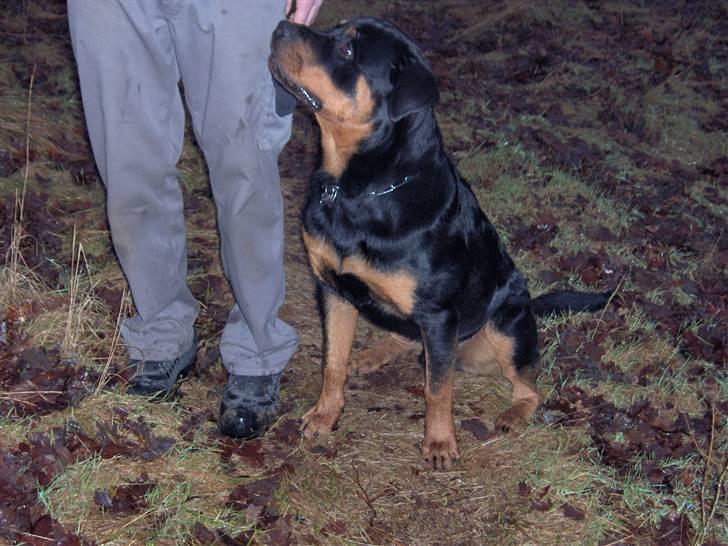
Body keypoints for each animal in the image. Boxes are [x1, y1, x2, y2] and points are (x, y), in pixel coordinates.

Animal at [268, 18, 608, 468]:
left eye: (347, 50)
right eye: (335, 31)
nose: (280, 25)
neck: (357, 189)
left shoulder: (438, 315)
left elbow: (438, 388)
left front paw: (440, 442)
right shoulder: (333, 289)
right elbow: (333, 362)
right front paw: (325, 414)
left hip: (505, 329)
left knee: (529, 386)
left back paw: (514, 414)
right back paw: (372, 354)